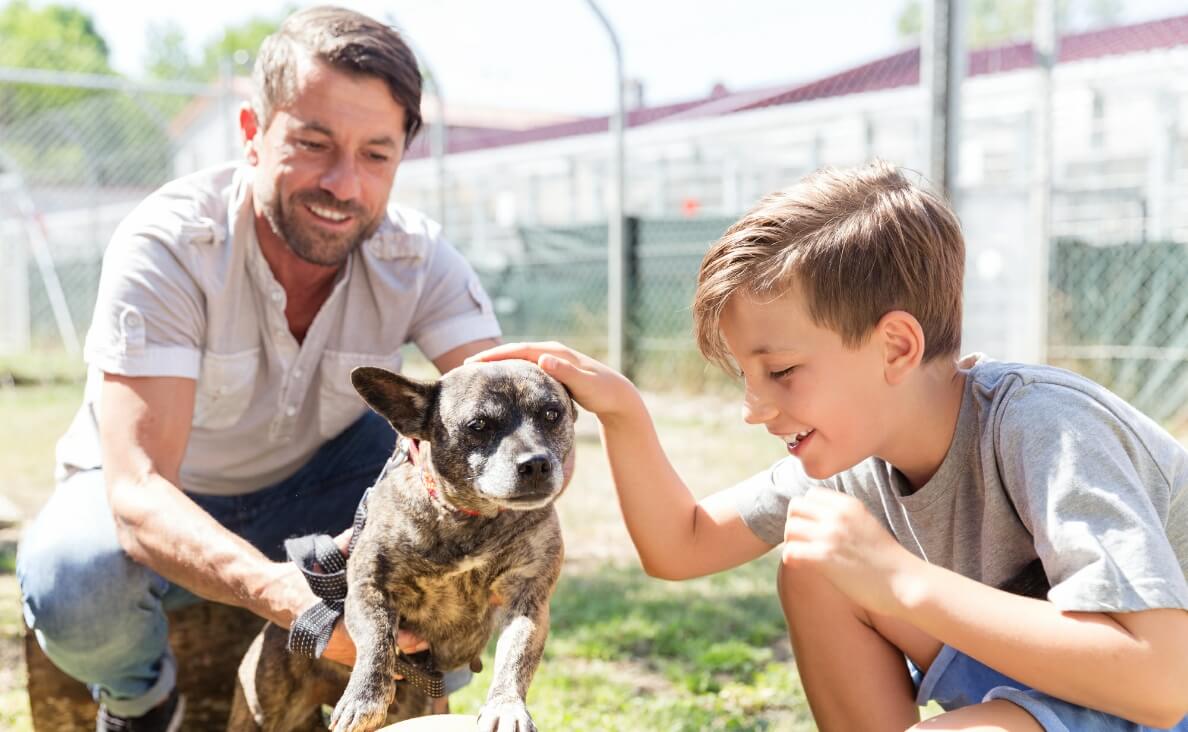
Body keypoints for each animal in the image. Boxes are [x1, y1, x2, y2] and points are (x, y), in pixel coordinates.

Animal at [228, 361, 574, 732]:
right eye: (478, 425)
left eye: (552, 414)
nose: (536, 463)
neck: (468, 517)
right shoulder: (370, 589)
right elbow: (379, 640)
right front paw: (364, 698)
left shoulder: (527, 600)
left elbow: (516, 657)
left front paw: (506, 707)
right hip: (261, 711)